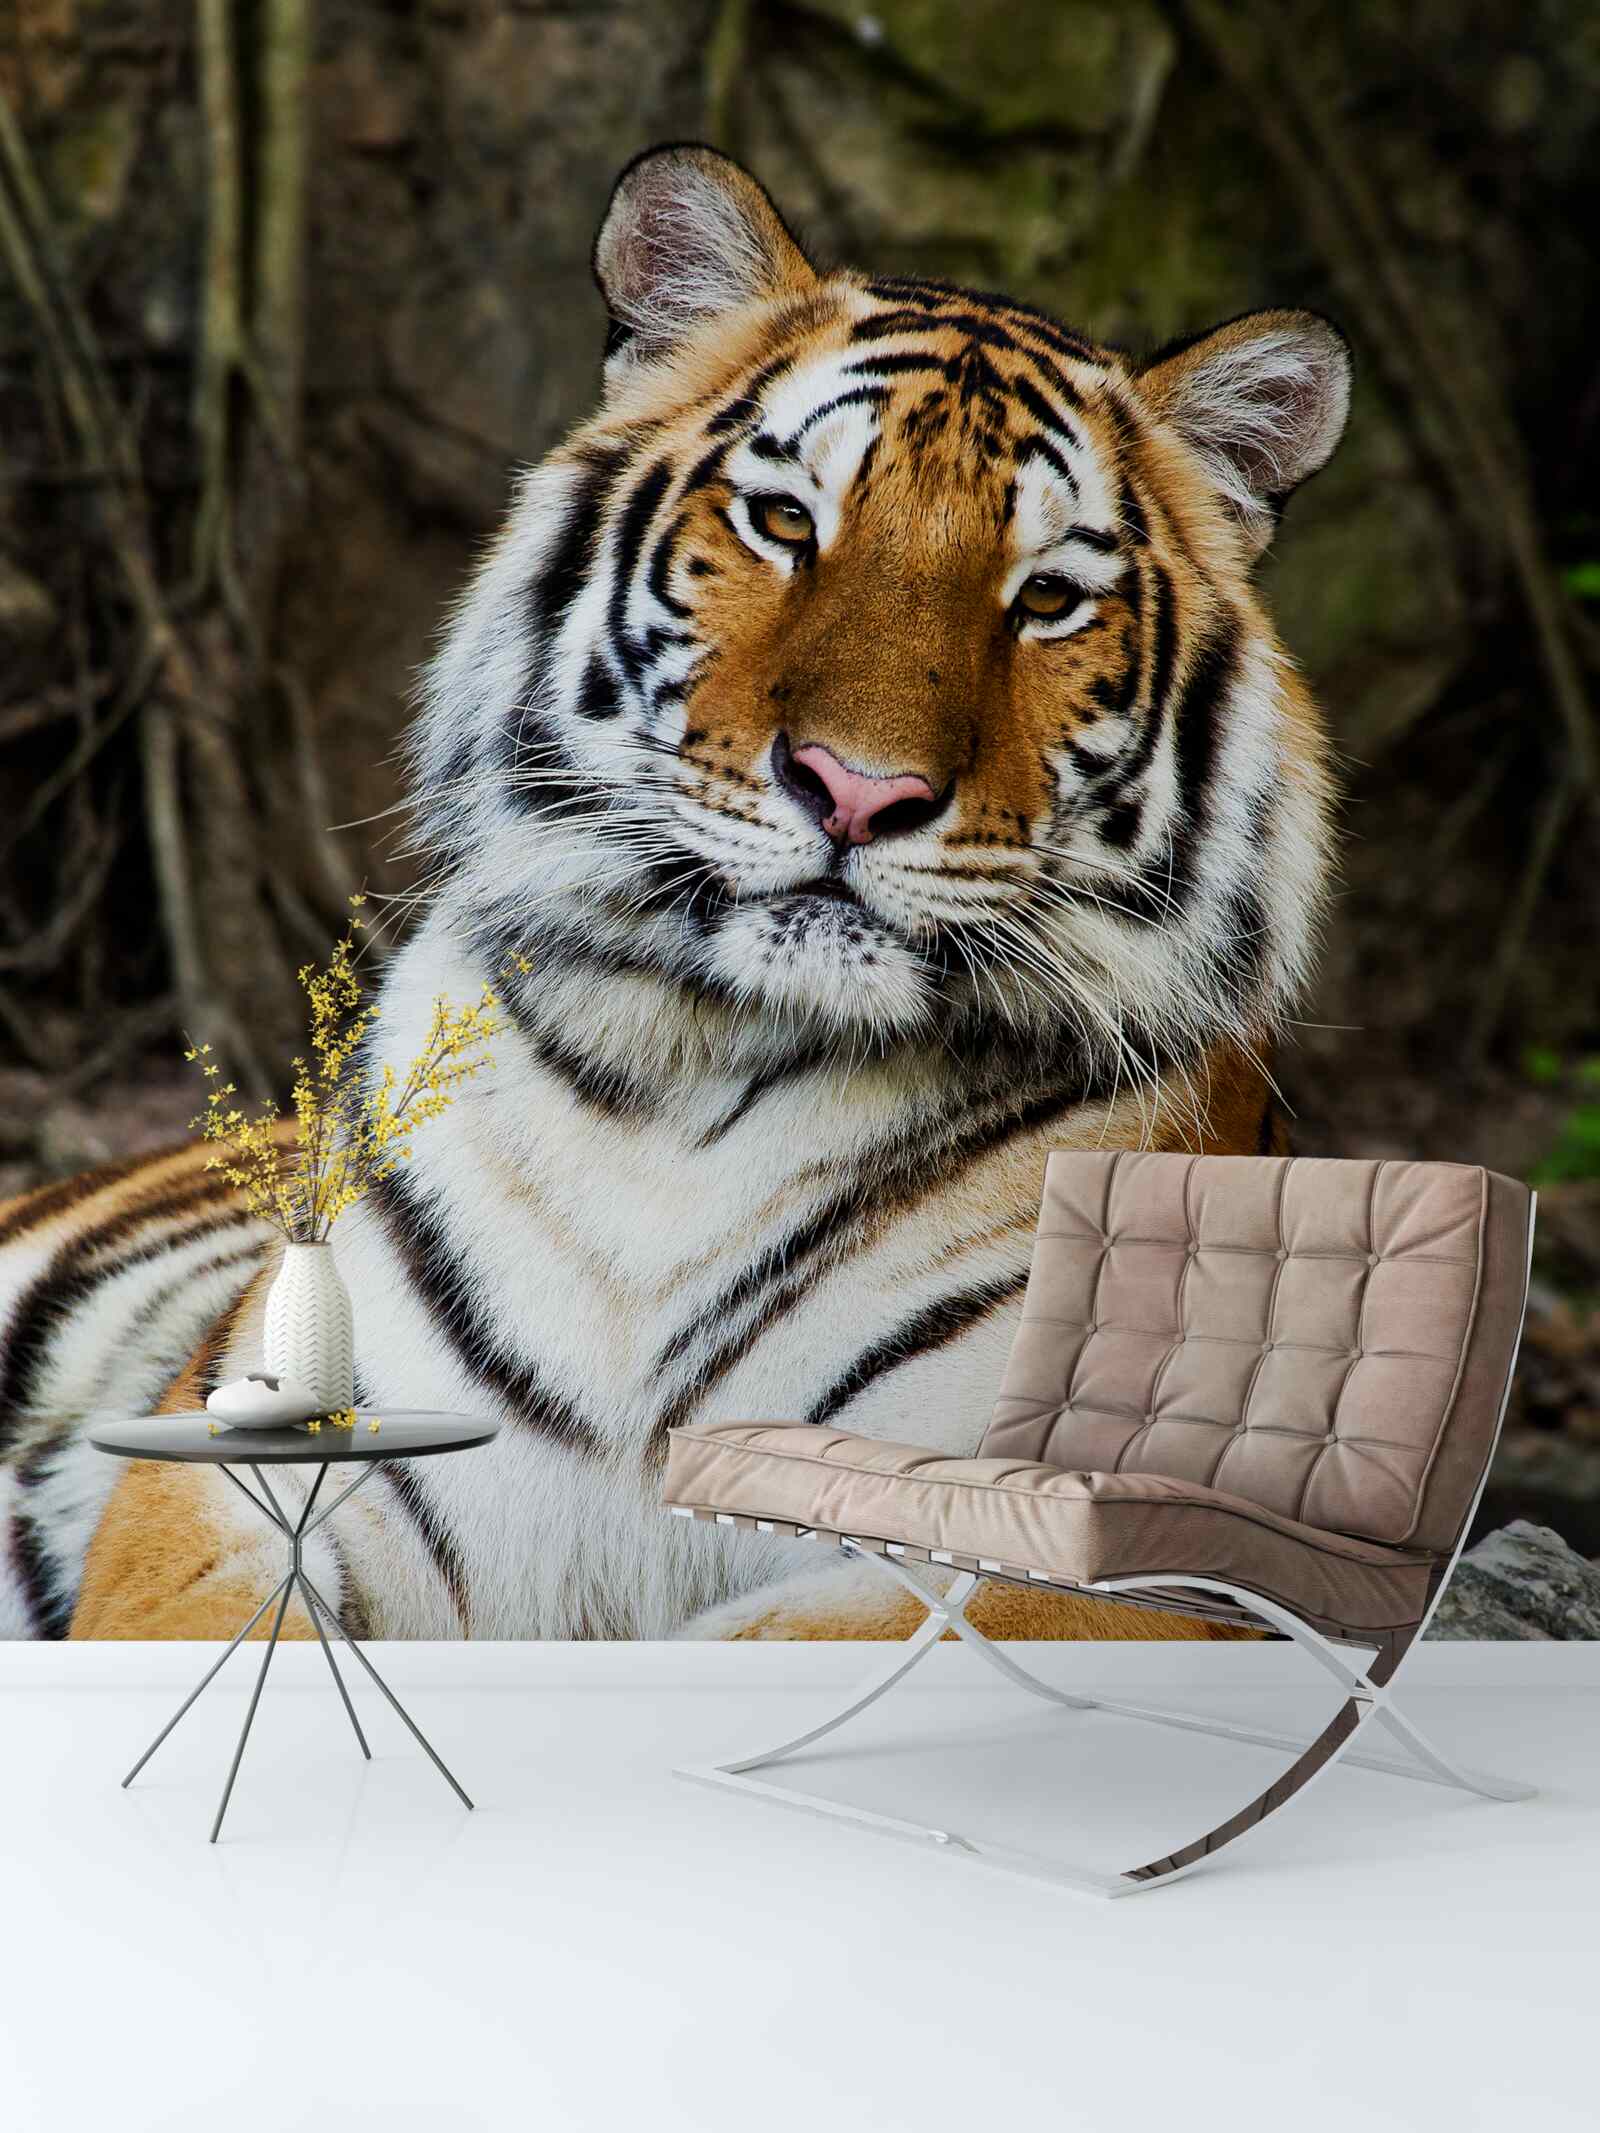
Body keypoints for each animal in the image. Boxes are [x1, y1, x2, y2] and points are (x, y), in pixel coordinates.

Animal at [0, 145, 1348, 1646]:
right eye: (784, 522)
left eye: (1047, 598)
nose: (856, 789)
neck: (686, 1085)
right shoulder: (240, 1475)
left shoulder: (1118, 1562)